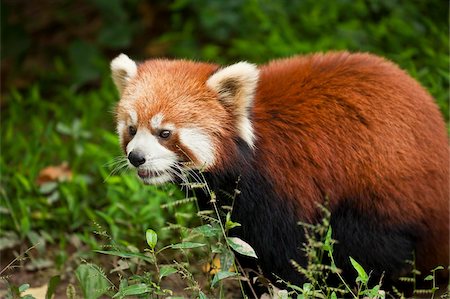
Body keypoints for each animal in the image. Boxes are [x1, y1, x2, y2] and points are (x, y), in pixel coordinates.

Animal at [110, 52, 448, 292]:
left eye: (164, 133)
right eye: (132, 129)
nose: (136, 157)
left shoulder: (284, 186)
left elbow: (287, 258)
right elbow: (247, 253)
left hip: (385, 192)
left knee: (372, 251)